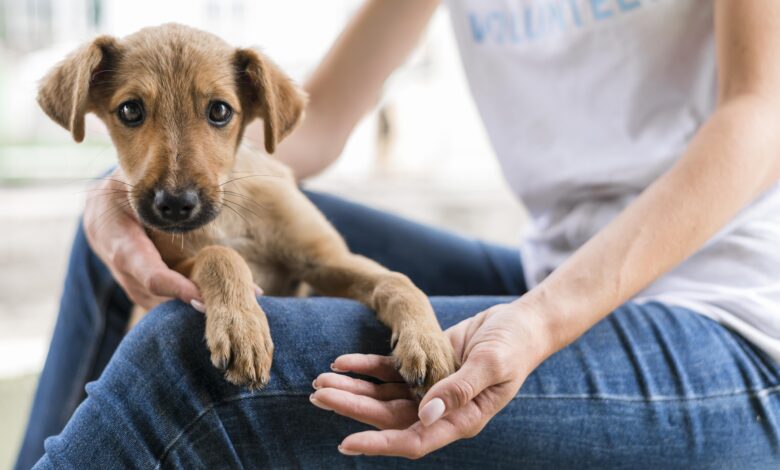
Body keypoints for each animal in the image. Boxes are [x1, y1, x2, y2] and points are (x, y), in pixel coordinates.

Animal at [38, 23, 458, 394]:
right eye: (129, 111)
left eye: (220, 111)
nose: (175, 205)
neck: (229, 216)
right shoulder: (170, 268)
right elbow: (219, 255)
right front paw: (242, 329)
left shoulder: (326, 260)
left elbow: (397, 281)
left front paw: (428, 341)